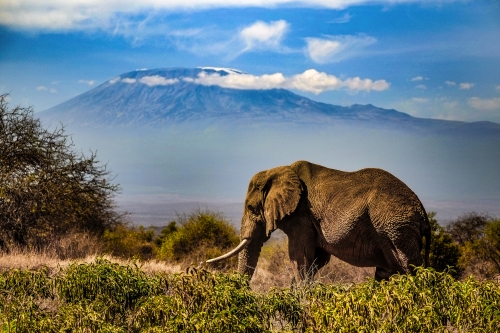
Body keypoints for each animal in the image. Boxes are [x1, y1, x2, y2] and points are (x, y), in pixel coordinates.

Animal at [209, 161, 432, 280]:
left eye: (250, 208)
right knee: (387, 272)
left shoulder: (301, 216)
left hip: (397, 229)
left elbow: (300, 255)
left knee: (409, 268)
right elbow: (317, 258)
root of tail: (423, 213)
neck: (280, 170)